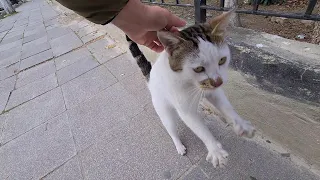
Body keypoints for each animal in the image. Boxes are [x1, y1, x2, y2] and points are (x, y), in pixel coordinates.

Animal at [125, 7, 255, 167]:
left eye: (222, 60)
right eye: (198, 69)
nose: (218, 82)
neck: (191, 83)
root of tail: (150, 79)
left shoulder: (214, 92)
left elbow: (226, 107)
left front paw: (241, 124)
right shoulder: (185, 109)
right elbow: (199, 129)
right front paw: (214, 149)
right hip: (163, 108)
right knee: (171, 128)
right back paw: (178, 145)